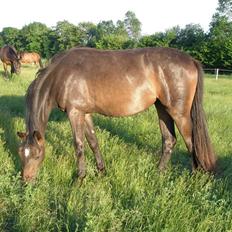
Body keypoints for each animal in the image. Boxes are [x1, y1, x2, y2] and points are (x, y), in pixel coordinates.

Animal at [16, 46, 216, 181]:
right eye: (21, 154)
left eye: (37, 155)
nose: (26, 180)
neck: (60, 75)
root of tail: (191, 60)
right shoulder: (85, 113)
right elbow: (93, 142)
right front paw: (101, 170)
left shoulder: (75, 113)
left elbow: (79, 145)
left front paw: (80, 178)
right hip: (162, 109)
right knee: (169, 140)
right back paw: (158, 173)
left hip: (179, 113)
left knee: (192, 144)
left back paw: (197, 180)